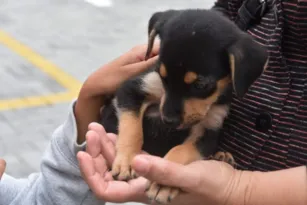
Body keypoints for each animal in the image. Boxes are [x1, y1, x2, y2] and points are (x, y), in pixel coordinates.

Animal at [100, 7, 268, 203]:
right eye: (162, 75)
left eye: (201, 84)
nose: (168, 120)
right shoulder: (130, 90)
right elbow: (131, 129)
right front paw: (126, 161)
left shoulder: (209, 130)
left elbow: (180, 151)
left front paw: (163, 181)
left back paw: (222, 158)